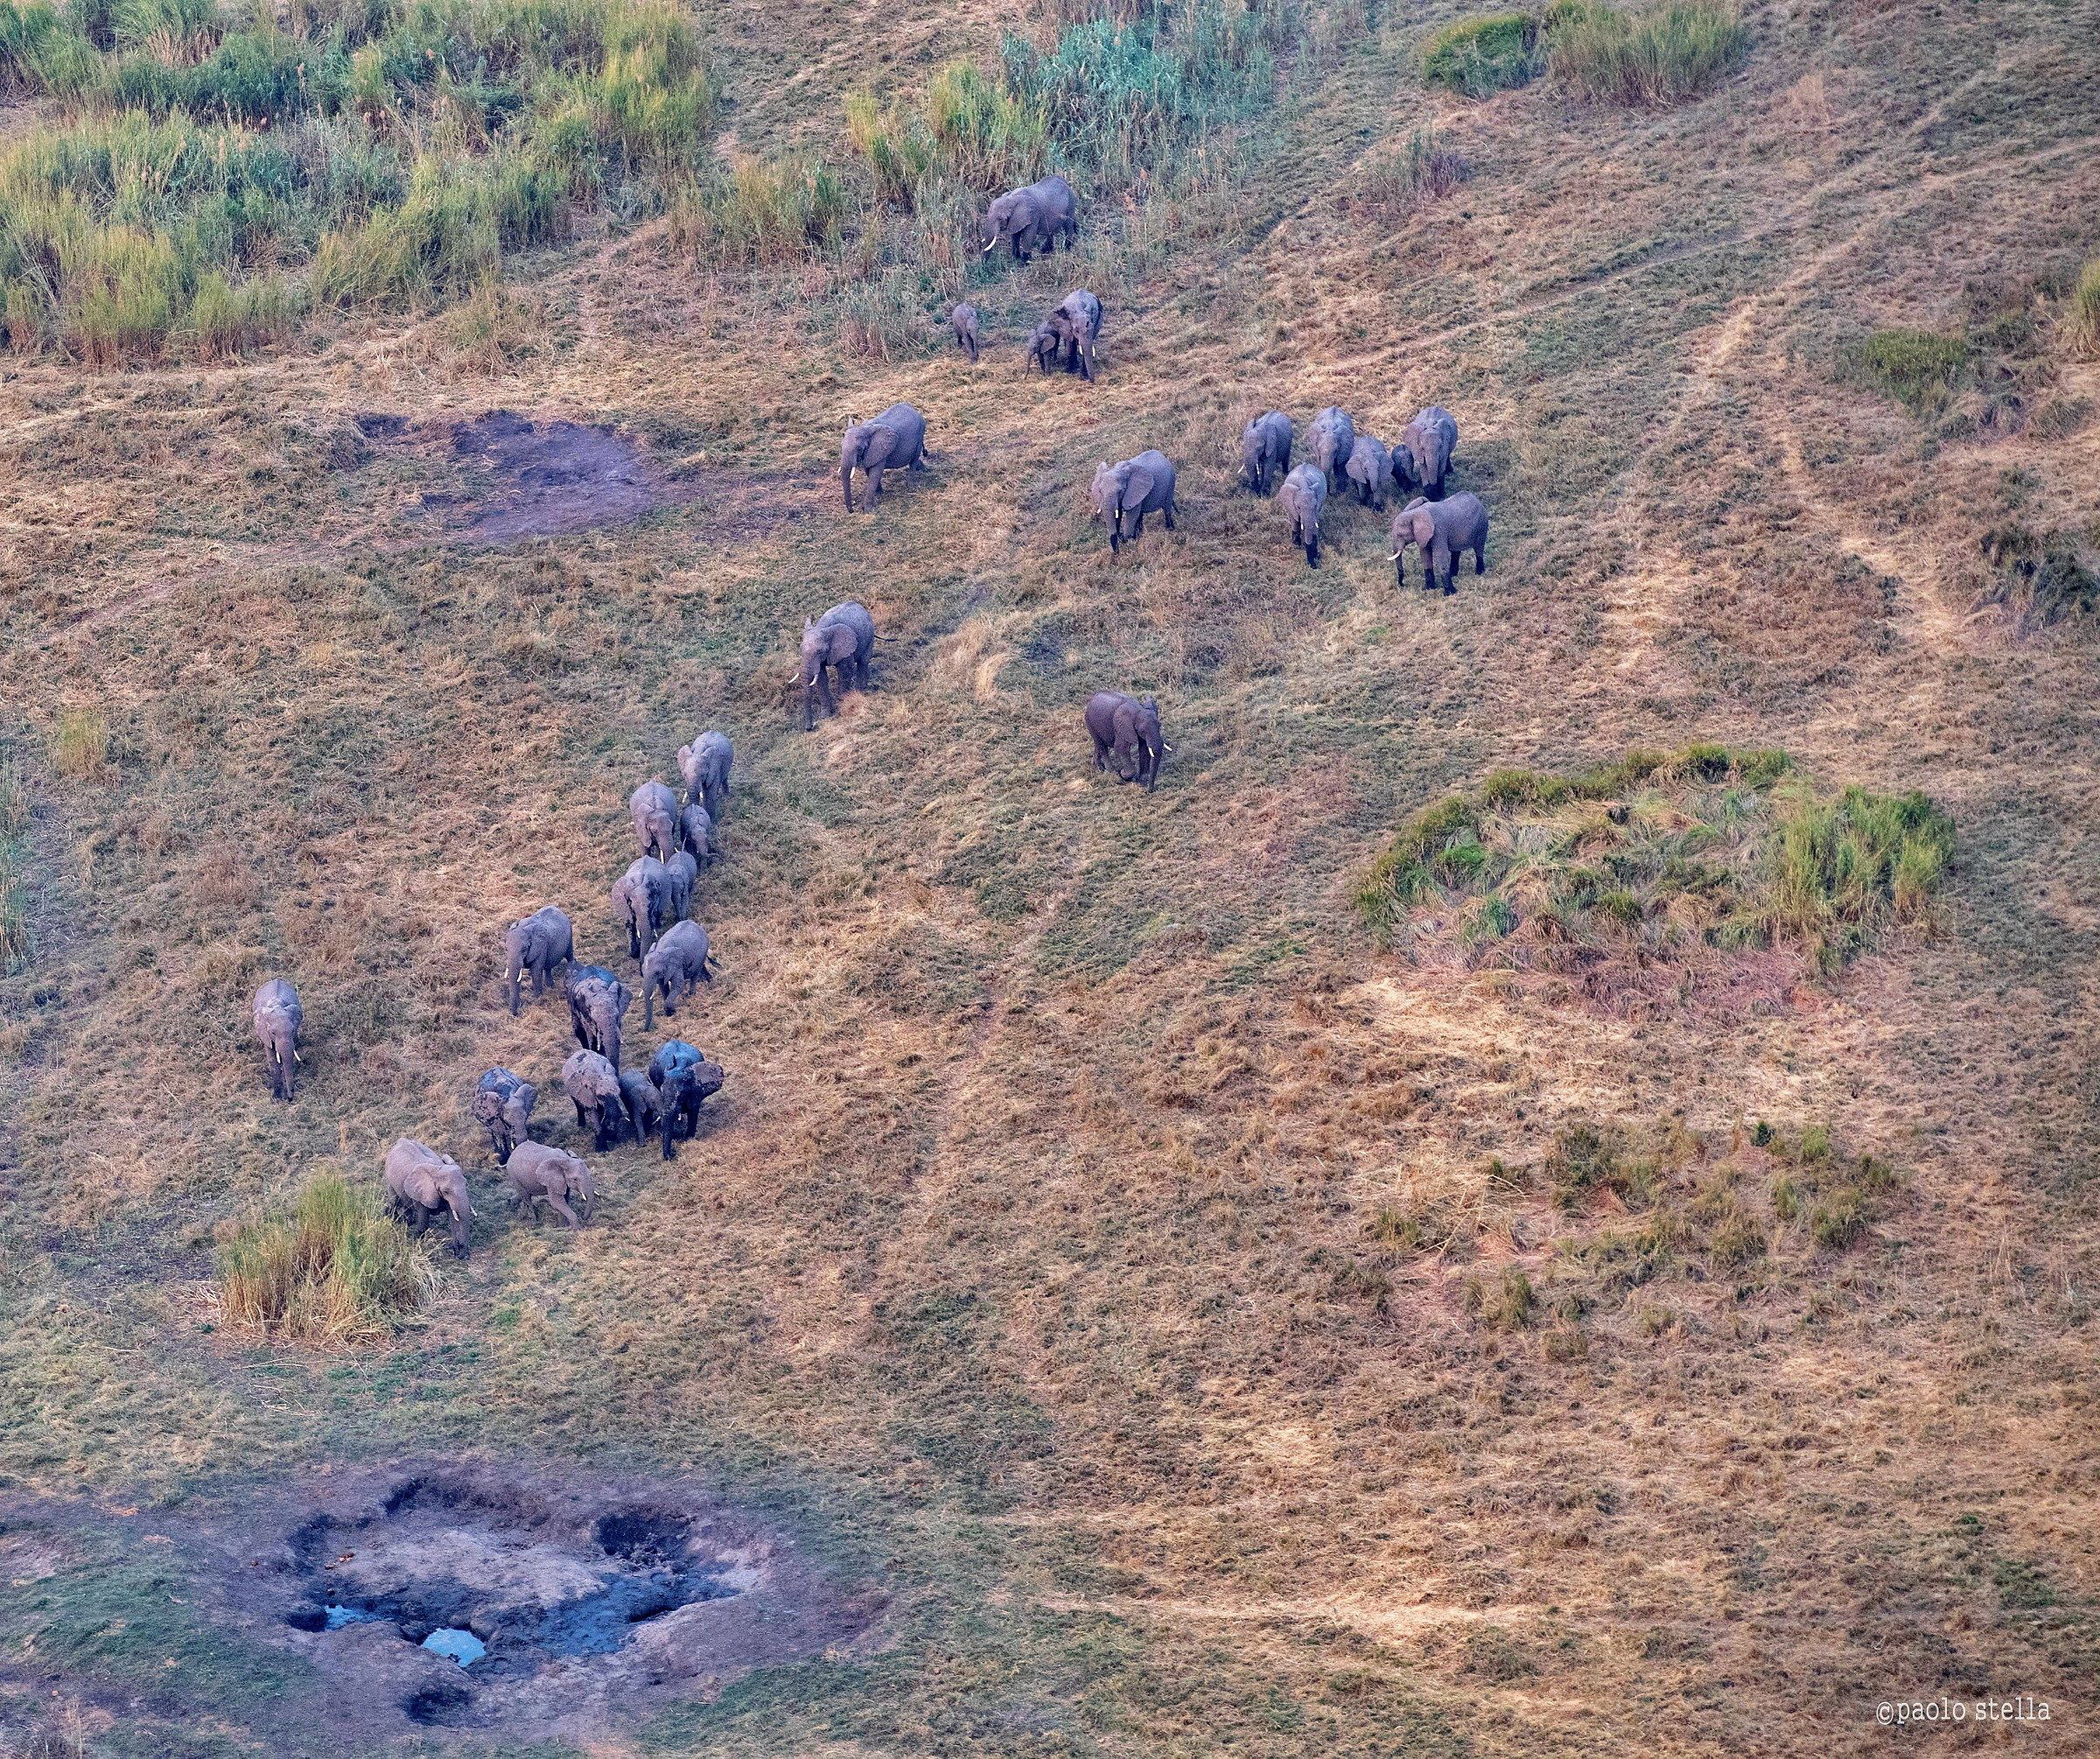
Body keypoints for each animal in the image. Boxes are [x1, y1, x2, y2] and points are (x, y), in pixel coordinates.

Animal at [252, 978, 302, 1102]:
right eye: (273, 1033)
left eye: (292, 1030)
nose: (290, 1099)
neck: (277, 1005)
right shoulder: (265, 1033)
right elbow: (272, 1059)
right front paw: (276, 1098)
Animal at [383, 1138, 472, 1258]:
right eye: (446, 1191)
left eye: (466, 1184)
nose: (460, 1256)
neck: (438, 1169)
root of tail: (401, 1139)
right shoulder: (423, 1193)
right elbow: (423, 1216)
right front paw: (418, 1242)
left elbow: (454, 1219)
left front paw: (457, 1251)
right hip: (389, 1176)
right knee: (394, 1200)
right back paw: (392, 1218)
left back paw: (408, 1222)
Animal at [650, 1039, 725, 1161]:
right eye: (661, 1091)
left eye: (682, 1094)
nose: (673, 1154)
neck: (681, 1067)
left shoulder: (696, 1091)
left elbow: (693, 1110)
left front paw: (688, 1139)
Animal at [800, 600, 876, 730]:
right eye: (800, 650)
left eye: (820, 652)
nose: (809, 728)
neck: (822, 627)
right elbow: (821, 678)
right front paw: (824, 716)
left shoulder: (844, 646)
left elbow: (845, 672)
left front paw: (842, 706)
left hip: (870, 635)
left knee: (863, 661)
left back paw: (860, 692)